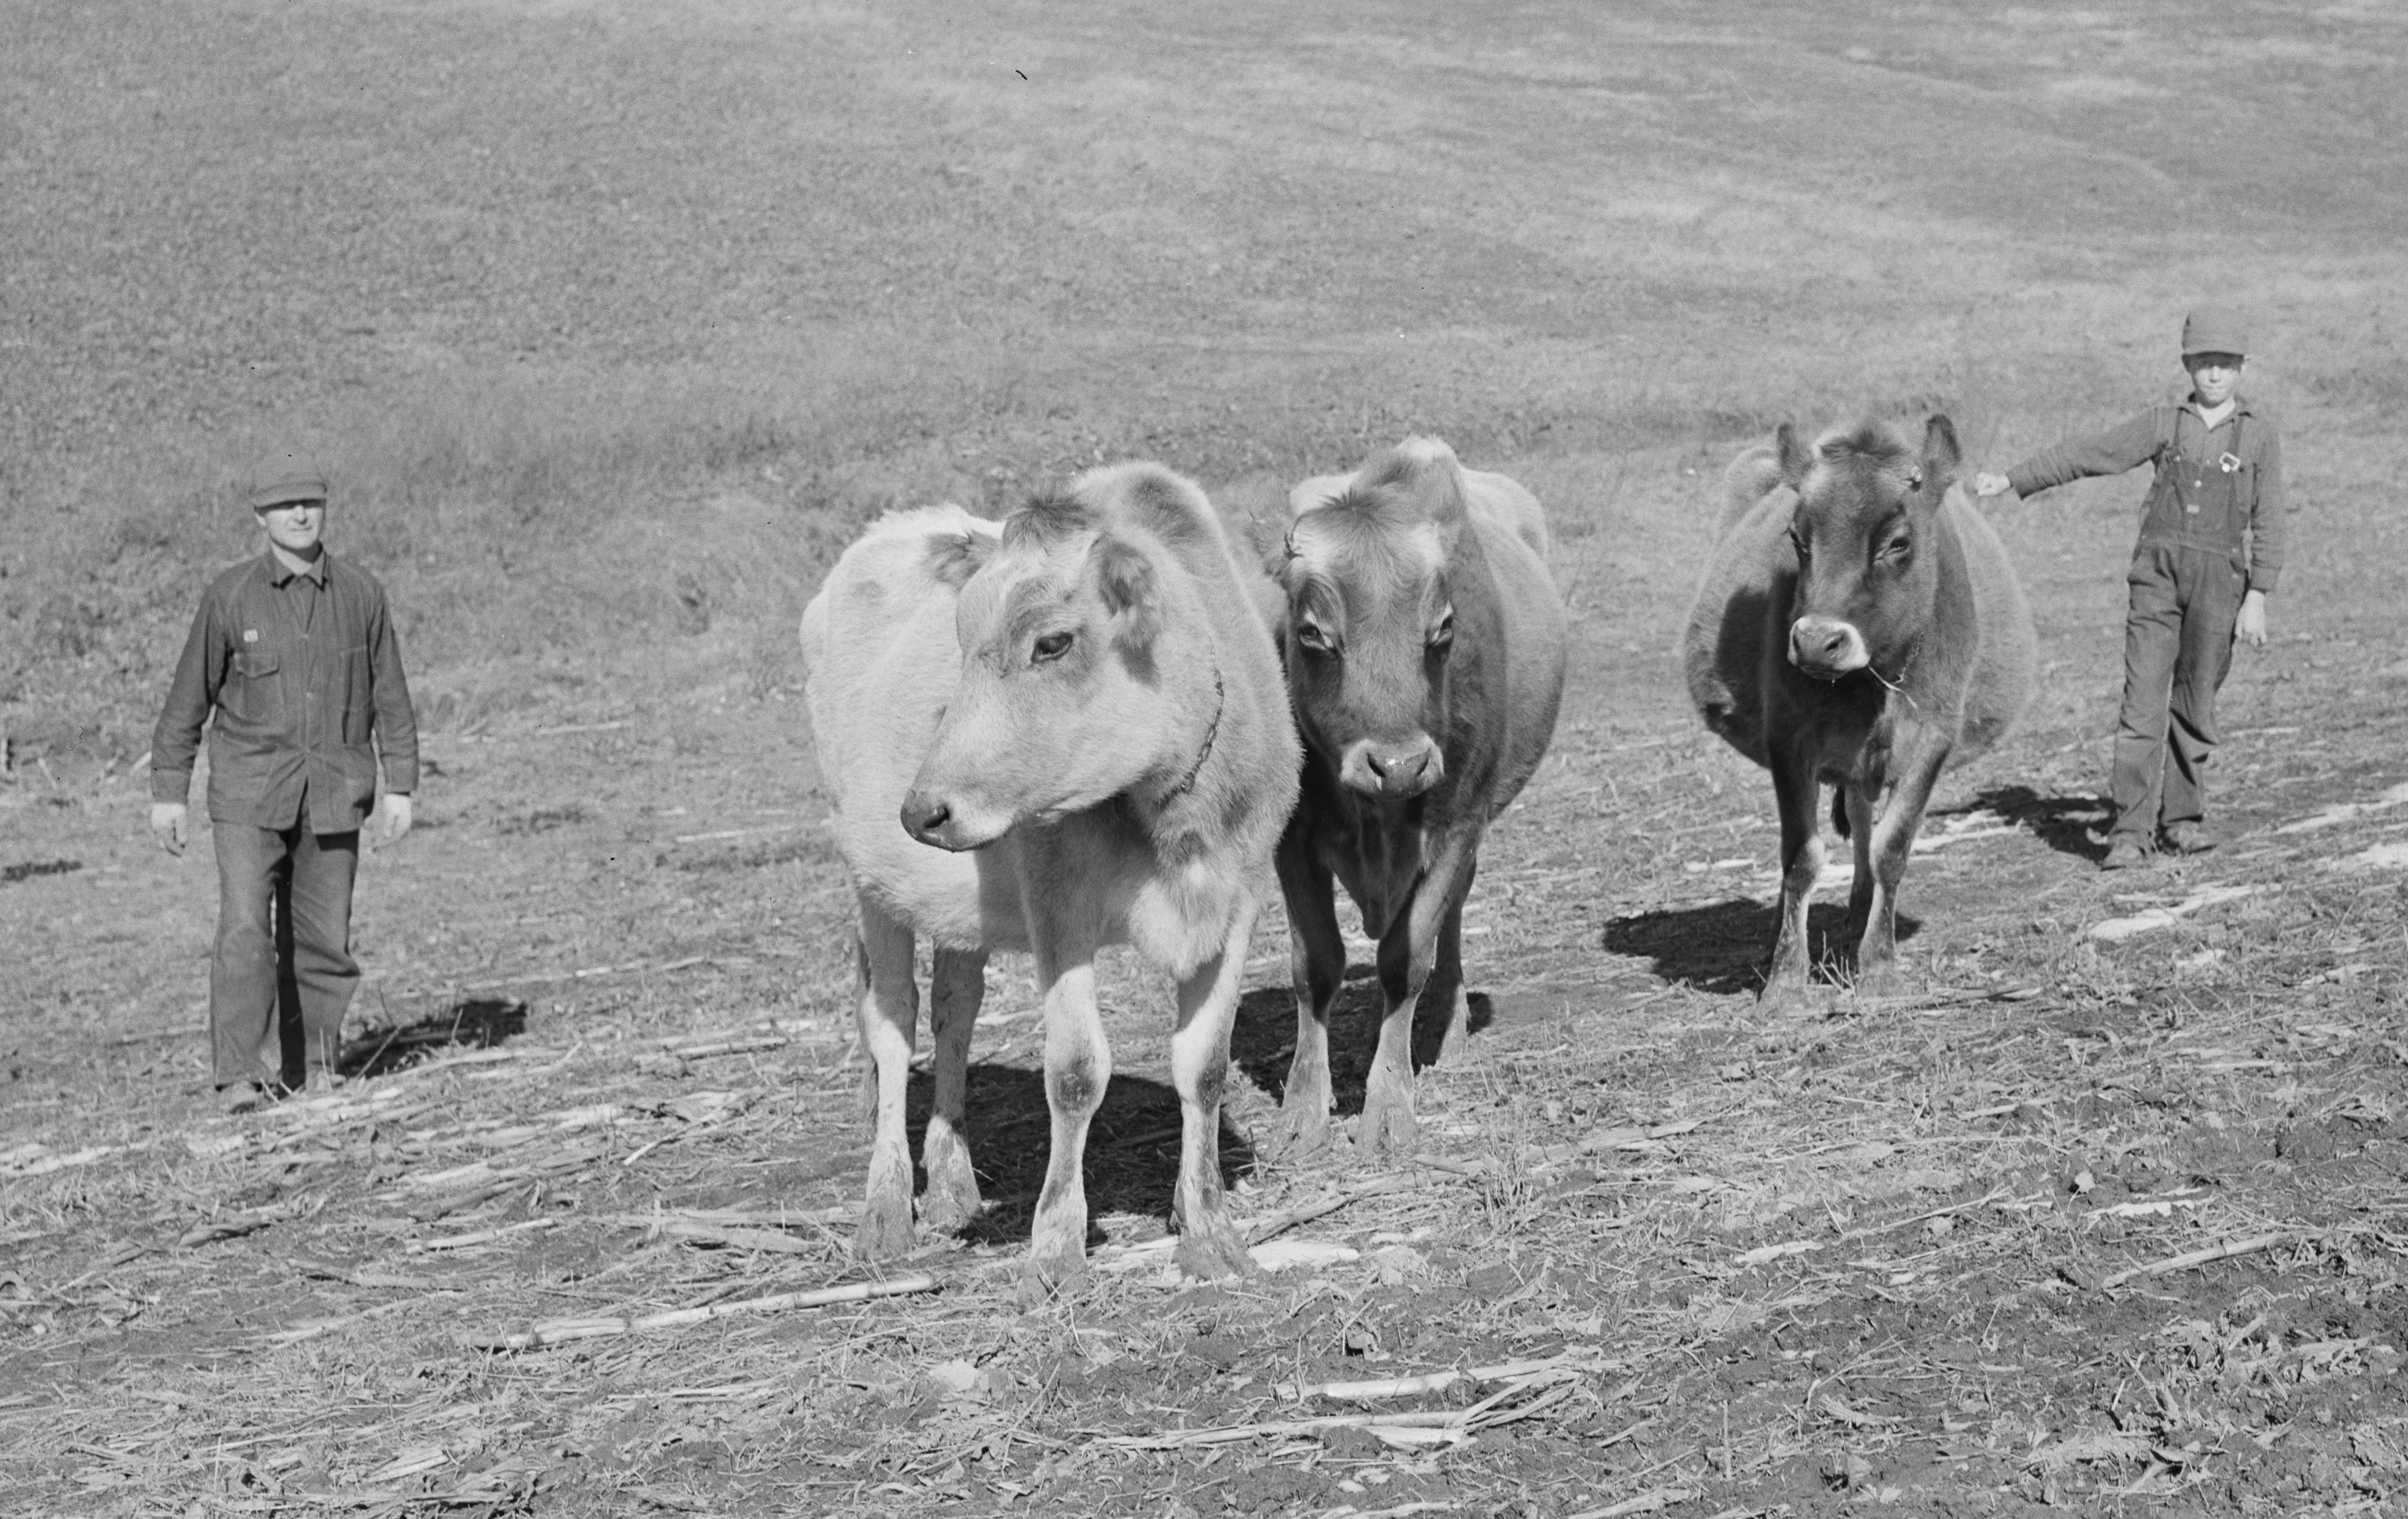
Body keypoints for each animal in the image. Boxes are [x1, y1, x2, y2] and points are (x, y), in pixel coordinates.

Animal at [799, 462, 1300, 1299]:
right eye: (962, 642)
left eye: (1053, 642)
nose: (923, 810)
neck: (1173, 820)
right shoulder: (1057, 905)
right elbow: (1073, 1072)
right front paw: (1055, 1248)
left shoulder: (1237, 902)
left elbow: (1203, 1067)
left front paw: (1207, 1233)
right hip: (869, 881)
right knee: (892, 1020)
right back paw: (886, 1209)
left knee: (955, 1006)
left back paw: (953, 1181)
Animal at [1263, 437, 1567, 1155]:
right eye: (1313, 634)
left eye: (1443, 629)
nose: (1398, 766)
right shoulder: (1293, 844)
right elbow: (1314, 965)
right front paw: (1301, 1110)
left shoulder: (1456, 827)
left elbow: (1407, 960)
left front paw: (1388, 1105)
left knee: (1450, 921)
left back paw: (1448, 1034)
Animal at [1682, 416, 2037, 1004]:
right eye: (1797, 539)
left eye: (1898, 543)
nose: (1815, 641)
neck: (1873, 684)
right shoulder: (1789, 742)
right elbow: (1800, 857)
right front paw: (1785, 977)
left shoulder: (1933, 739)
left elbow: (1892, 849)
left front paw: (1878, 966)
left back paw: (1859, 911)